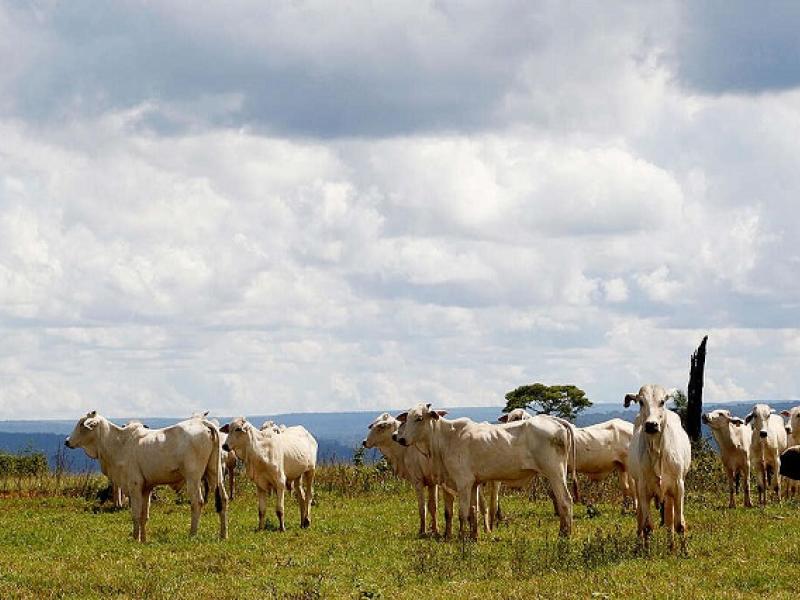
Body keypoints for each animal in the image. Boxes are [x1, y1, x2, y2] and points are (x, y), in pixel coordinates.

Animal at [390, 404, 572, 540]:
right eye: (407, 417)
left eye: (419, 418)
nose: (401, 439)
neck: (445, 439)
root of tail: (555, 421)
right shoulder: (473, 484)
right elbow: (473, 511)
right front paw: (473, 536)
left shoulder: (463, 482)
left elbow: (463, 513)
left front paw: (462, 537)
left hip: (554, 472)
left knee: (565, 500)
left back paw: (564, 535)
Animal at [624, 384, 688, 548]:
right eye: (641, 402)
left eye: (662, 402)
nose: (651, 425)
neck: (657, 450)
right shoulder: (643, 489)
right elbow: (647, 526)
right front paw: (646, 551)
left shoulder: (678, 486)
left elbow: (679, 524)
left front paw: (684, 551)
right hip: (637, 487)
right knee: (640, 518)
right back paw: (639, 545)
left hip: (669, 493)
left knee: (670, 520)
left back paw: (671, 546)